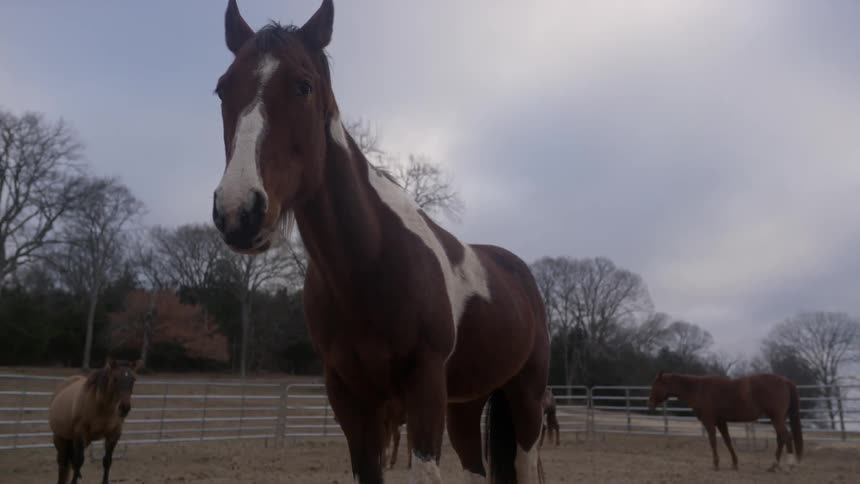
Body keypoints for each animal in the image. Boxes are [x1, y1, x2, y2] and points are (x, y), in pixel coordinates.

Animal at [210, 1, 550, 482]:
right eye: (222, 90)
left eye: (303, 86)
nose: (239, 211)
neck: (368, 263)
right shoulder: (350, 398)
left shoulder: (425, 387)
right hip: (468, 405)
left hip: (526, 399)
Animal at [647, 371, 803, 472]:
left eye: (655, 385)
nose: (649, 404)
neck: (698, 389)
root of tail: (785, 381)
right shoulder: (721, 421)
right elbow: (727, 441)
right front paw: (734, 463)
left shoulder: (709, 421)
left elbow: (713, 441)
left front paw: (716, 464)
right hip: (777, 419)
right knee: (781, 439)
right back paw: (773, 466)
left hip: (776, 418)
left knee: (786, 438)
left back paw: (789, 465)